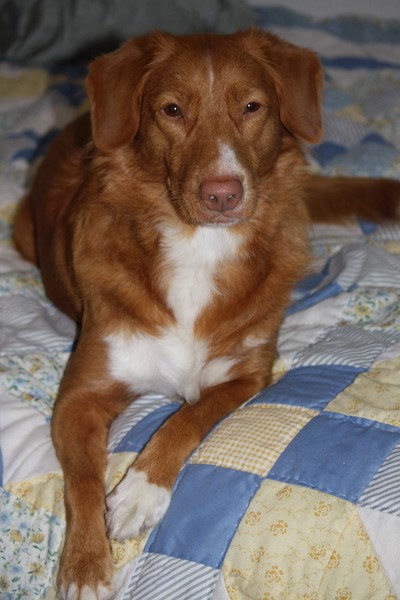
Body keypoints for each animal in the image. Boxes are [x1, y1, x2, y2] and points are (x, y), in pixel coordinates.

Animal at [12, 29, 400, 600]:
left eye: (252, 107)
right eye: (172, 110)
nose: (222, 194)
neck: (198, 248)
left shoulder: (247, 374)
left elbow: (187, 418)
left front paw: (140, 491)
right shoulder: (78, 398)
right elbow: (81, 479)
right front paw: (84, 565)